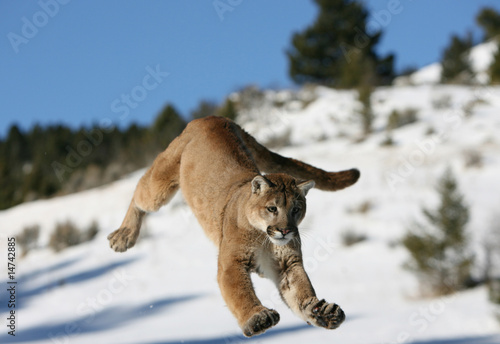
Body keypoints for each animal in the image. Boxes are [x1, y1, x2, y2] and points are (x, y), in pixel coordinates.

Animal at [108, 117, 360, 338]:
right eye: (272, 208)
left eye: (296, 209)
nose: (285, 230)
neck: (264, 237)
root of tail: (214, 117)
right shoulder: (232, 262)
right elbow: (240, 292)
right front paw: (257, 317)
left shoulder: (287, 264)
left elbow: (300, 290)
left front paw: (320, 311)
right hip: (162, 181)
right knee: (140, 191)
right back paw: (123, 236)